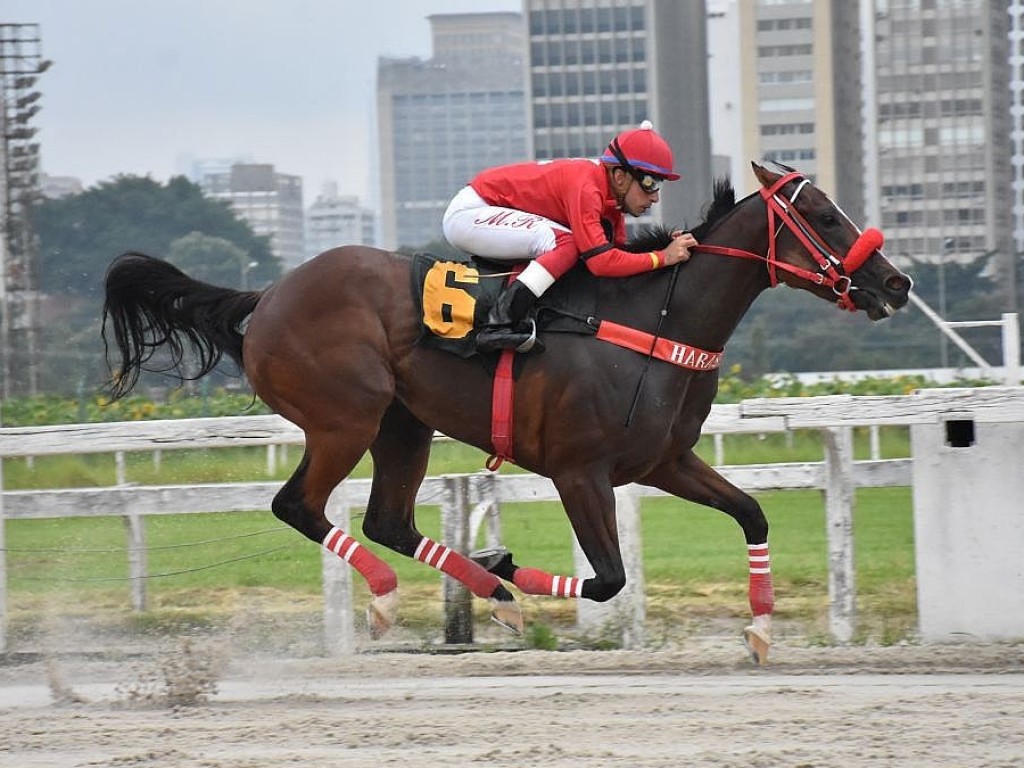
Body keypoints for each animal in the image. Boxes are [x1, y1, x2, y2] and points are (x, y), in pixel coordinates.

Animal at [101, 165, 913, 663]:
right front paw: (507, 569)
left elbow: (751, 513)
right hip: (345, 418)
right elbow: (609, 578)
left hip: (403, 424)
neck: (652, 320)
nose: (896, 283)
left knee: (387, 520)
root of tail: (264, 296)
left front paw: (761, 626)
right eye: (823, 215)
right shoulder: (579, 470)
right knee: (298, 505)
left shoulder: (664, 462)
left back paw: (477, 587)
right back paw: (403, 598)